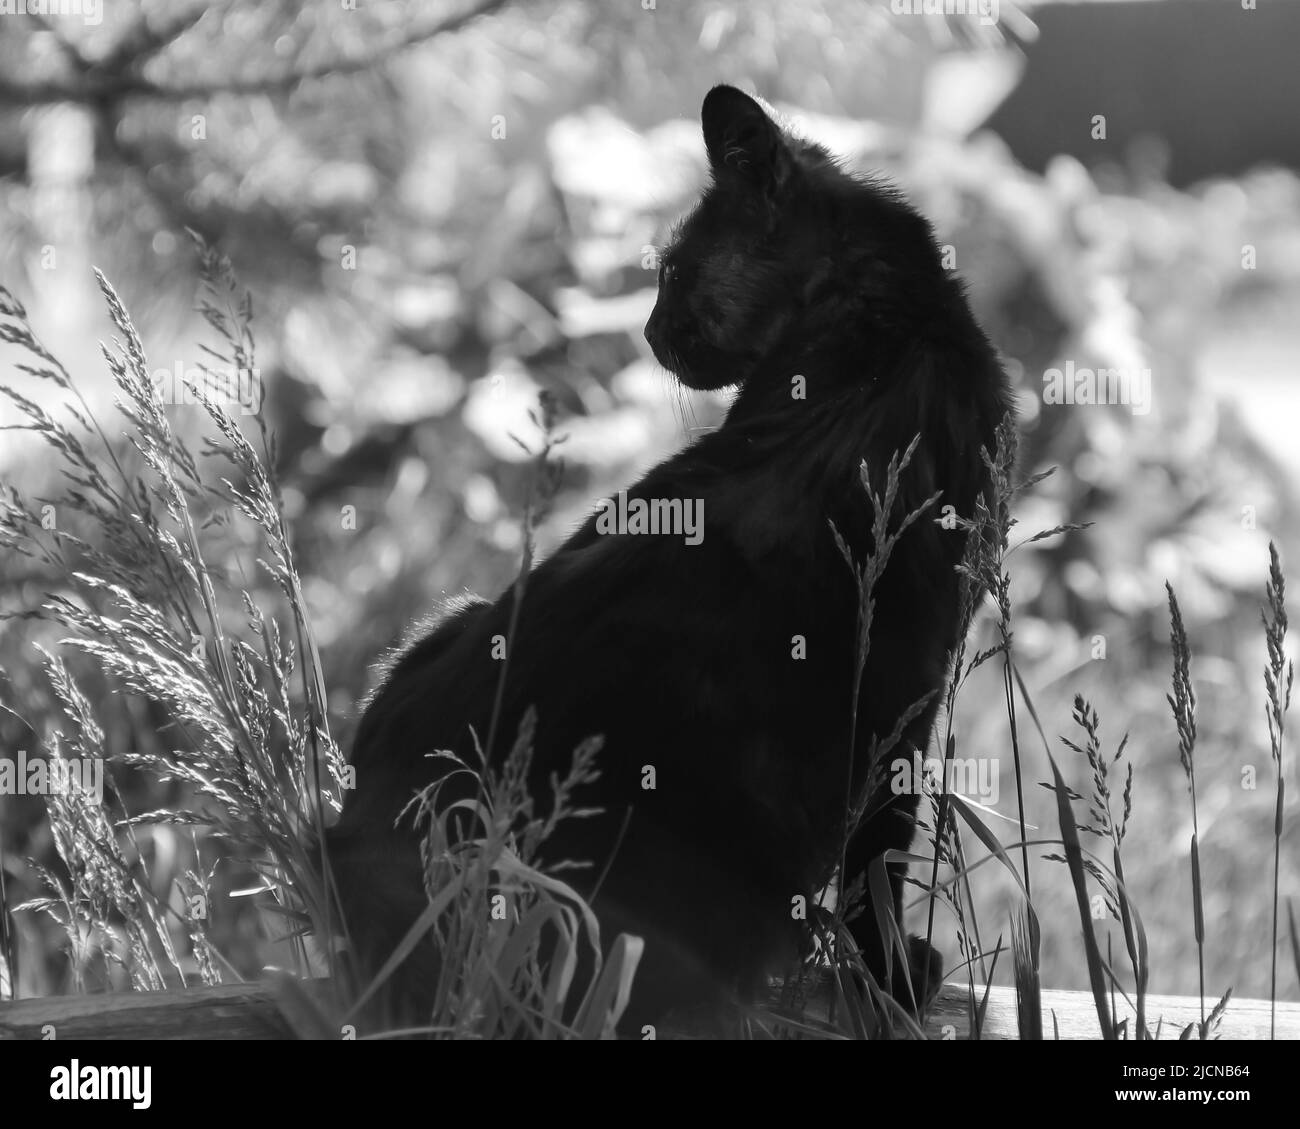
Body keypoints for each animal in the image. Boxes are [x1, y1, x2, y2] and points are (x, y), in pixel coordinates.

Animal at [327, 85, 1013, 1030]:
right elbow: (879, 867)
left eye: (676, 272)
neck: (883, 323)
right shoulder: (906, 693)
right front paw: (891, 980)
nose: (650, 330)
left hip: (443, 622)